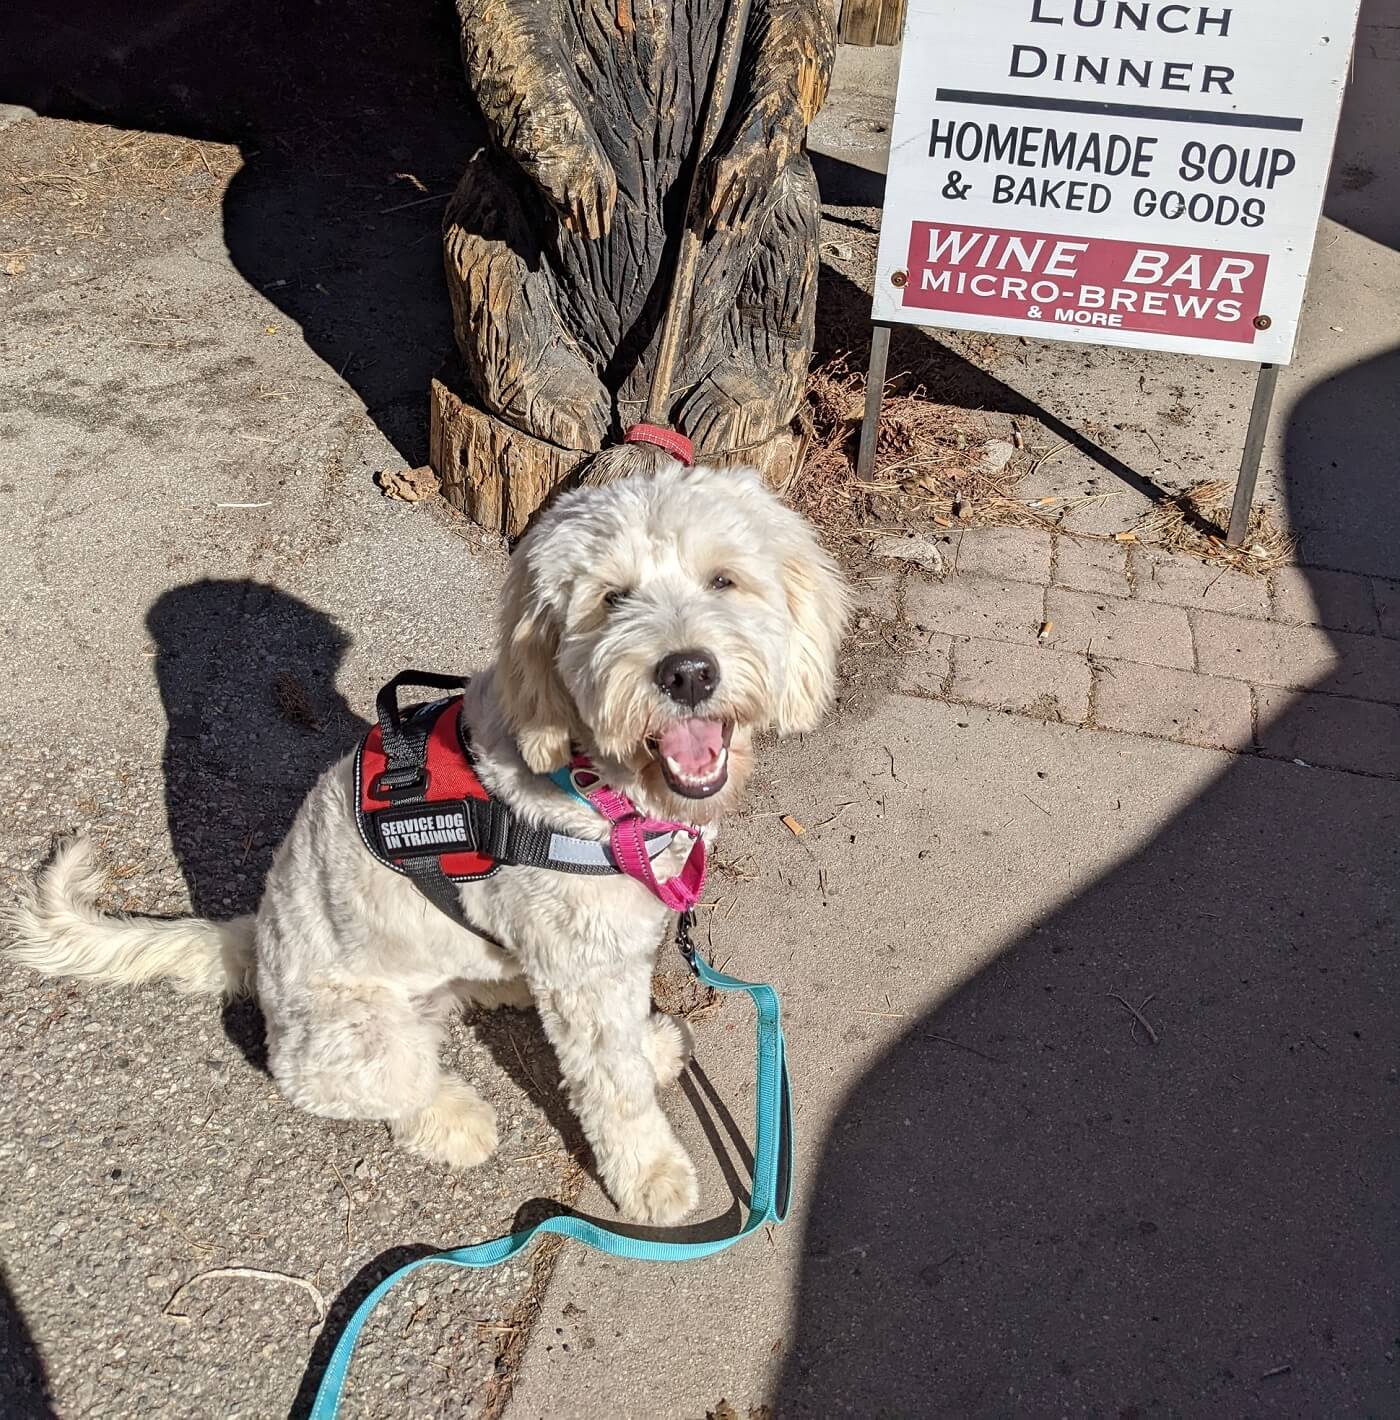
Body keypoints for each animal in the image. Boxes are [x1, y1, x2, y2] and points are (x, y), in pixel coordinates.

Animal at [8, 462, 840, 1221]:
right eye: (612, 599)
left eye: (723, 580)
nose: (687, 672)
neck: (593, 779)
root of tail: (253, 937)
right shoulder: (584, 966)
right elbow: (614, 1082)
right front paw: (650, 1174)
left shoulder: (607, 954)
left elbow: (623, 1037)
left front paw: (649, 1047)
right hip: (360, 1038)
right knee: (372, 1090)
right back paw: (452, 1118)